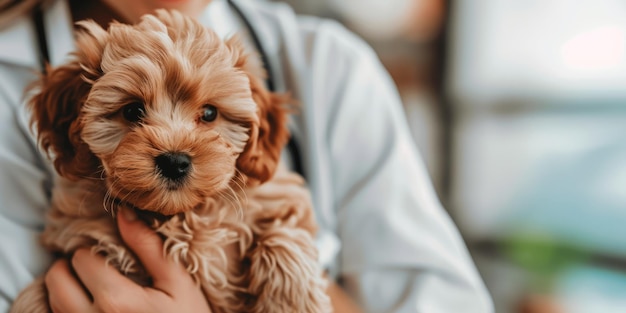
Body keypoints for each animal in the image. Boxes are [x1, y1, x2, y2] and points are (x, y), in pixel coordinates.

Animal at [11, 9, 332, 312]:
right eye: (132, 111)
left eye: (209, 113)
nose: (174, 162)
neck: (178, 218)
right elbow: (40, 291)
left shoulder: (279, 201)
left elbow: (281, 238)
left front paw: (292, 302)